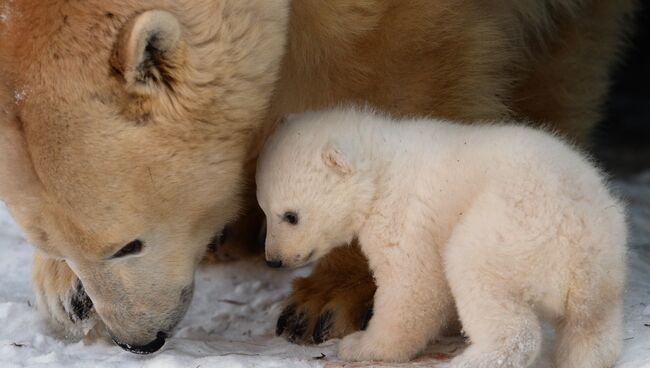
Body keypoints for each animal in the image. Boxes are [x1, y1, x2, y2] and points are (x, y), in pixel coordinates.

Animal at [256, 108, 624, 366]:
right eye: (263, 209)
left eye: (290, 215)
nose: (274, 259)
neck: (381, 164)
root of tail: (577, 237)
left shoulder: (403, 215)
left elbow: (414, 286)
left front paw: (362, 345)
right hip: (605, 261)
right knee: (591, 327)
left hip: (510, 232)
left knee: (481, 282)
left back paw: (473, 359)